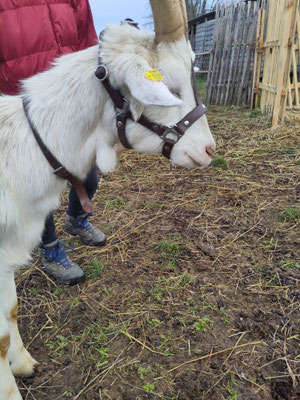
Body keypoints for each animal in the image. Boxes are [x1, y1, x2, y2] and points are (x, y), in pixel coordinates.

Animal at [0, 1, 216, 398]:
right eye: (169, 86)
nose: (208, 150)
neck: (20, 148)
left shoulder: (7, 254)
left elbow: (10, 313)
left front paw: (23, 364)